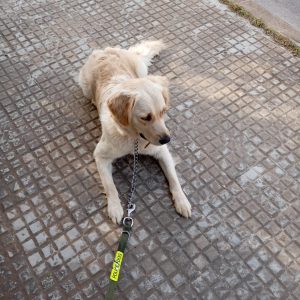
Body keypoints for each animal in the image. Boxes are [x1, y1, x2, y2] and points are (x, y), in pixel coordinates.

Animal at [79, 40, 192, 223]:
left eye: (163, 111)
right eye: (146, 117)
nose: (167, 139)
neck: (133, 139)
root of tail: (105, 50)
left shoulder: (162, 152)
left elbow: (174, 179)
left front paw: (182, 201)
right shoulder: (100, 156)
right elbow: (110, 186)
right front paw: (115, 207)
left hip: (141, 69)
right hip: (85, 86)